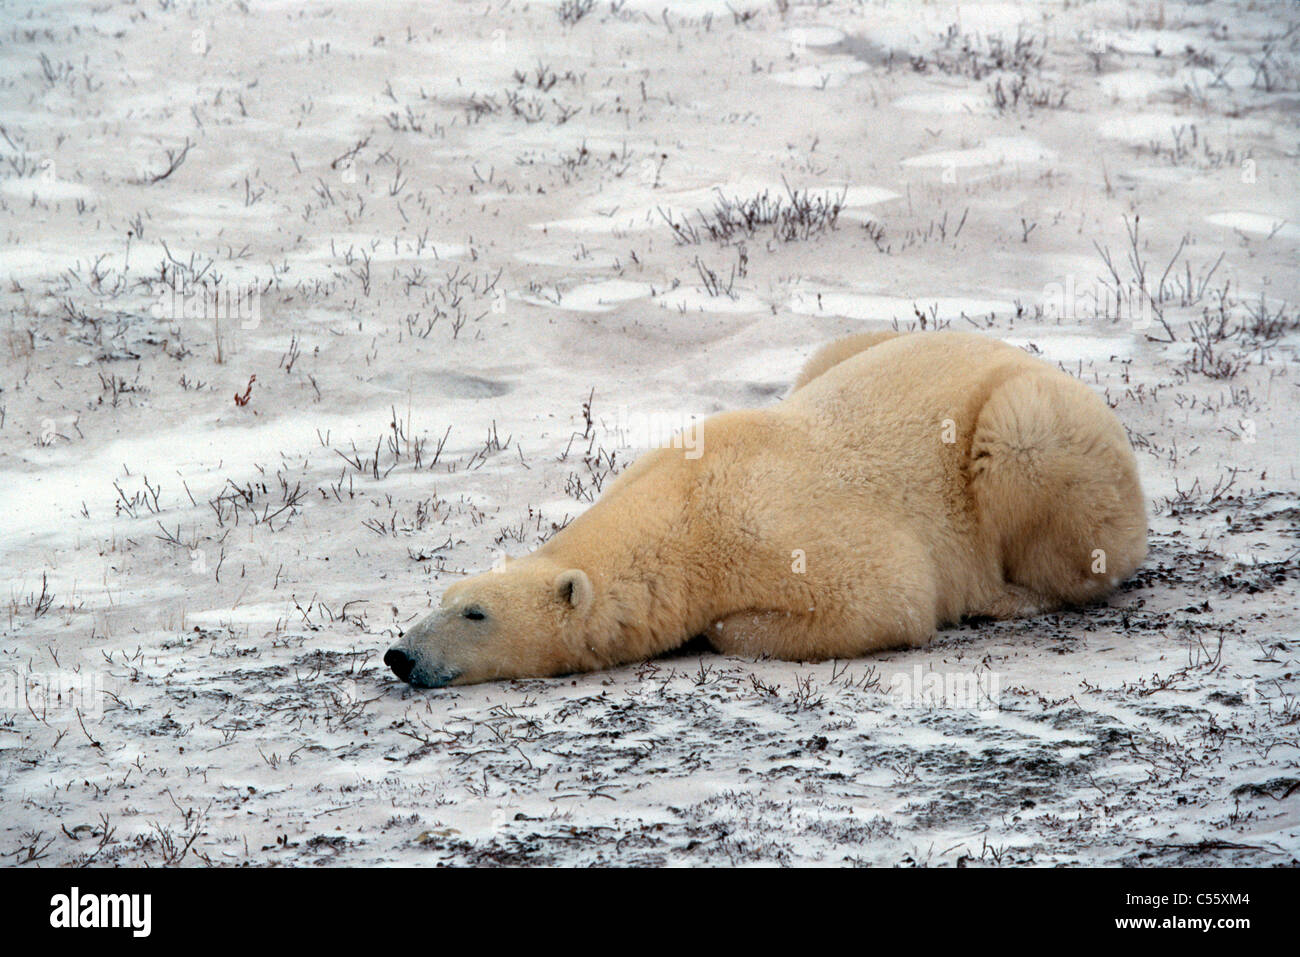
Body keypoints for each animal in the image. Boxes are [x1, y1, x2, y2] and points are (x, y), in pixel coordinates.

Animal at [384, 330, 1149, 686]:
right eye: (443, 596)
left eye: (475, 614)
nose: (398, 654)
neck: (686, 510)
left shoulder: (785, 530)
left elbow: (884, 597)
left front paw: (720, 627)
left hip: (1037, 431)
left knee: (1030, 460)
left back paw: (1010, 594)